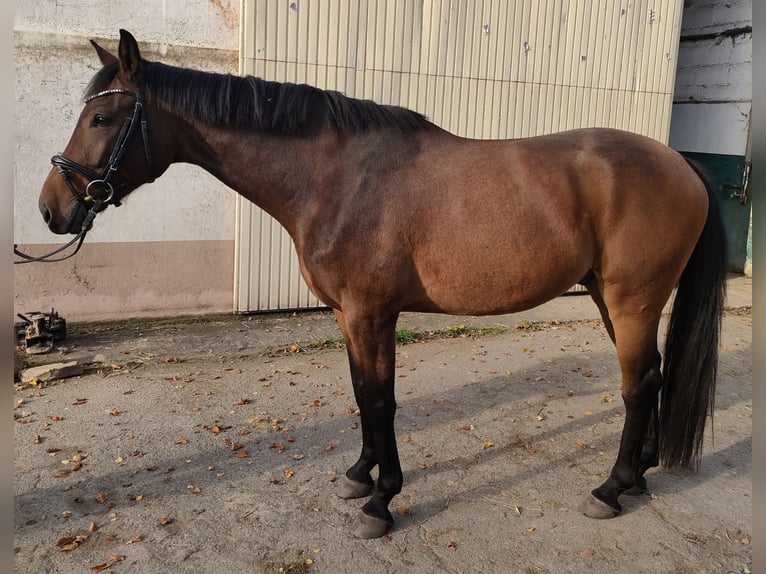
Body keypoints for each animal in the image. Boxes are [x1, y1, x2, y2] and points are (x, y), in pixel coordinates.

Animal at [36, 30, 728, 540]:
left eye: (102, 117)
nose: (50, 209)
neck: (337, 178)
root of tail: (681, 162)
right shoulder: (348, 316)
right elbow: (362, 392)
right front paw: (360, 475)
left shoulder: (372, 313)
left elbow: (381, 400)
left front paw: (382, 501)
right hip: (613, 299)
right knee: (653, 377)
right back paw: (640, 476)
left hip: (631, 301)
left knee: (636, 386)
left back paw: (611, 488)